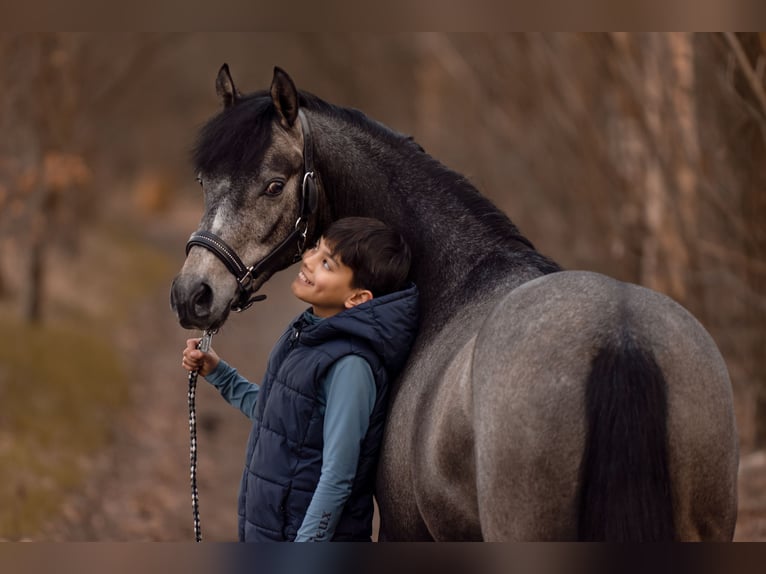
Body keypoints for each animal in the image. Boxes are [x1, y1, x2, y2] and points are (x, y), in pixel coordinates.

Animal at [170, 64, 739, 541]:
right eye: (203, 181)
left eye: (273, 186)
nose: (192, 294)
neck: (455, 281)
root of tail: (620, 337)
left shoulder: (405, 530)